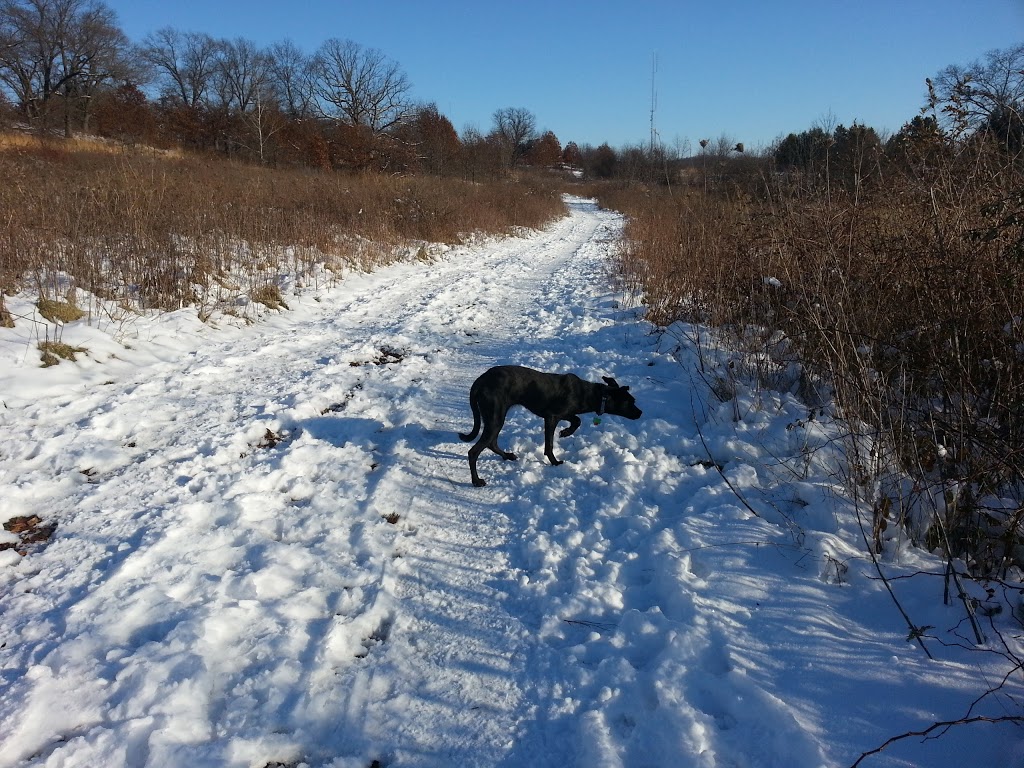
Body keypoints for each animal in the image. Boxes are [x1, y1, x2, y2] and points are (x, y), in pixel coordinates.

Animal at [458, 366, 638, 487]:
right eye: (630, 402)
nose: (640, 412)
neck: (588, 393)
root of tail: (480, 381)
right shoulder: (551, 417)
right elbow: (549, 445)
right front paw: (555, 461)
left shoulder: (564, 414)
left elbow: (577, 420)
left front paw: (566, 432)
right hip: (495, 418)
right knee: (474, 451)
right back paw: (476, 481)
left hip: (496, 419)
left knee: (492, 443)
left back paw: (507, 456)